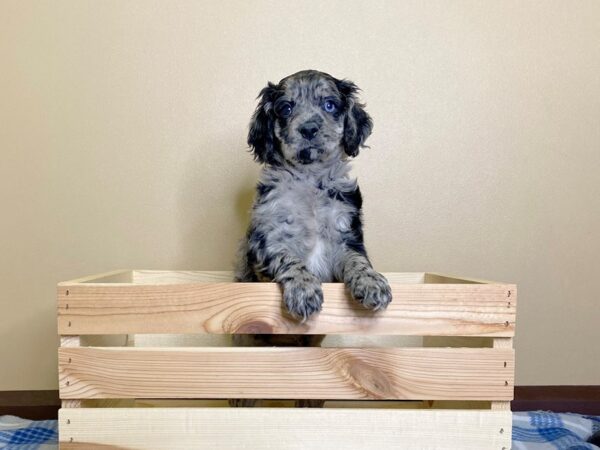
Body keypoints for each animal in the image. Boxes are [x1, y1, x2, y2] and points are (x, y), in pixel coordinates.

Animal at [232, 69, 392, 344]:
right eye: (285, 108)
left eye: (329, 105)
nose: (308, 128)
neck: (309, 179)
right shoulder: (266, 239)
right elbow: (288, 258)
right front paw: (304, 290)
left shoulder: (346, 236)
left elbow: (357, 260)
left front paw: (372, 282)